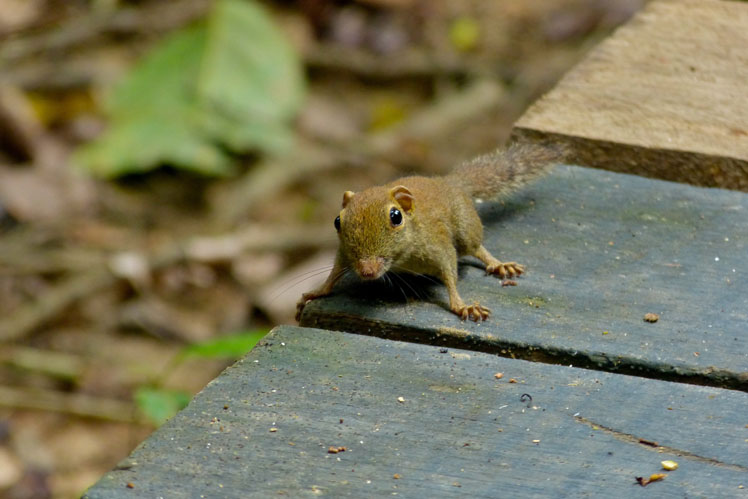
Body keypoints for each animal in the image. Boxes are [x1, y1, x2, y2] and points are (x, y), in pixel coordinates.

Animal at [296, 142, 564, 320]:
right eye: (337, 221)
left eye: (395, 217)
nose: (367, 271)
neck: (401, 258)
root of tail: (449, 183)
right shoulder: (344, 253)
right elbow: (333, 273)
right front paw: (314, 293)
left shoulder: (438, 246)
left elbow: (450, 274)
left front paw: (462, 306)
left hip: (464, 227)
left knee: (476, 246)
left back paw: (498, 264)